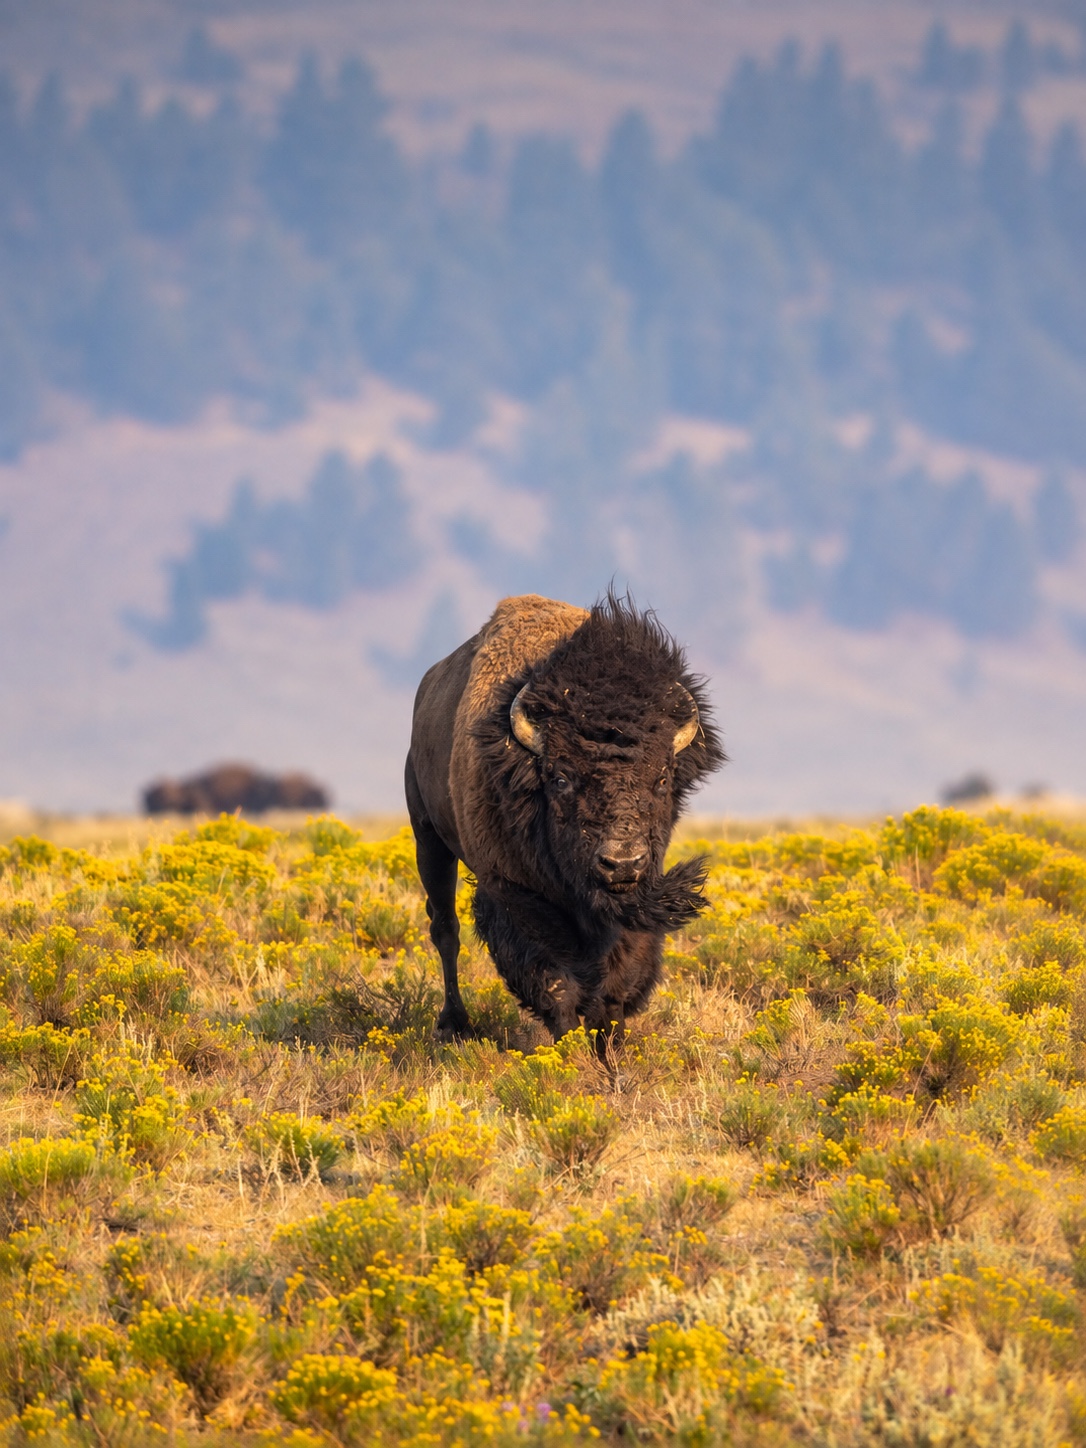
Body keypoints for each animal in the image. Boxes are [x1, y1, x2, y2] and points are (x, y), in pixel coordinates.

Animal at [405, 593, 725, 1055]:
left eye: (662, 779)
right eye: (560, 778)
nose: (621, 863)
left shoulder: (635, 904)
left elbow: (617, 981)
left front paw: (610, 1049)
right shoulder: (513, 894)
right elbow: (555, 982)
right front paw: (571, 1051)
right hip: (428, 838)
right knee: (445, 929)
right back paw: (453, 1025)